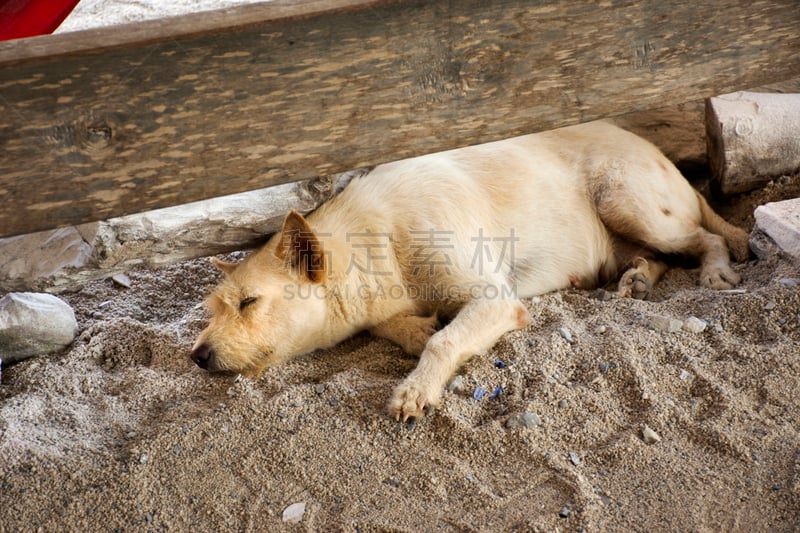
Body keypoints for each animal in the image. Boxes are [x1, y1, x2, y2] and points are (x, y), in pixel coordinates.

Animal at [192, 121, 752, 420]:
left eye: (249, 302)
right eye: (213, 308)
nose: (196, 356)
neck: (376, 242)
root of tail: (654, 148)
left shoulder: (497, 298)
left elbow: (445, 342)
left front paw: (415, 391)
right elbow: (403, 327)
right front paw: (415, 330)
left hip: (627, 201)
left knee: (705, 238)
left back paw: (716, 272)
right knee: (658, 256)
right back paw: (636, 278)